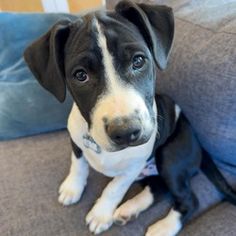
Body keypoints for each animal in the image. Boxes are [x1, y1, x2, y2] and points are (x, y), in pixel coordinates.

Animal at [23, 0, 236, 235]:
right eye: (80, 75)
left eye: (138, 61)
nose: (126, 132)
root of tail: (200, 147)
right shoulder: (76, 140)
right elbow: (78, 163)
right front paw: (73, 187)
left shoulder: (134, 166)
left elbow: (115, 187)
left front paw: (101, 213)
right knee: (158, 187)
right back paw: (129, 209)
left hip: (171, 156)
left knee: (188, 199)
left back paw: (163, 227)